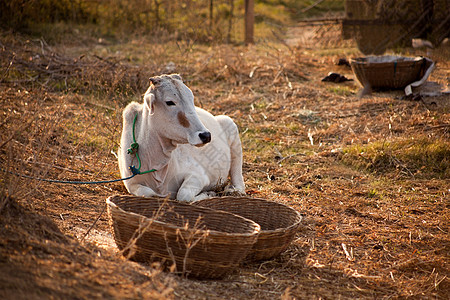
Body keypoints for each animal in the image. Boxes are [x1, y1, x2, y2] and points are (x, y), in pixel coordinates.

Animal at [118, 74, 244, 202]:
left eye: (191, 98)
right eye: (169, 102)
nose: (206, 135)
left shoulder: (198, 176)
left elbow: (184, 195)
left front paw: (209, 193)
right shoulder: (131, 183)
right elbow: (148, 193)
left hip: (231, 127)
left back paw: (232, 190)